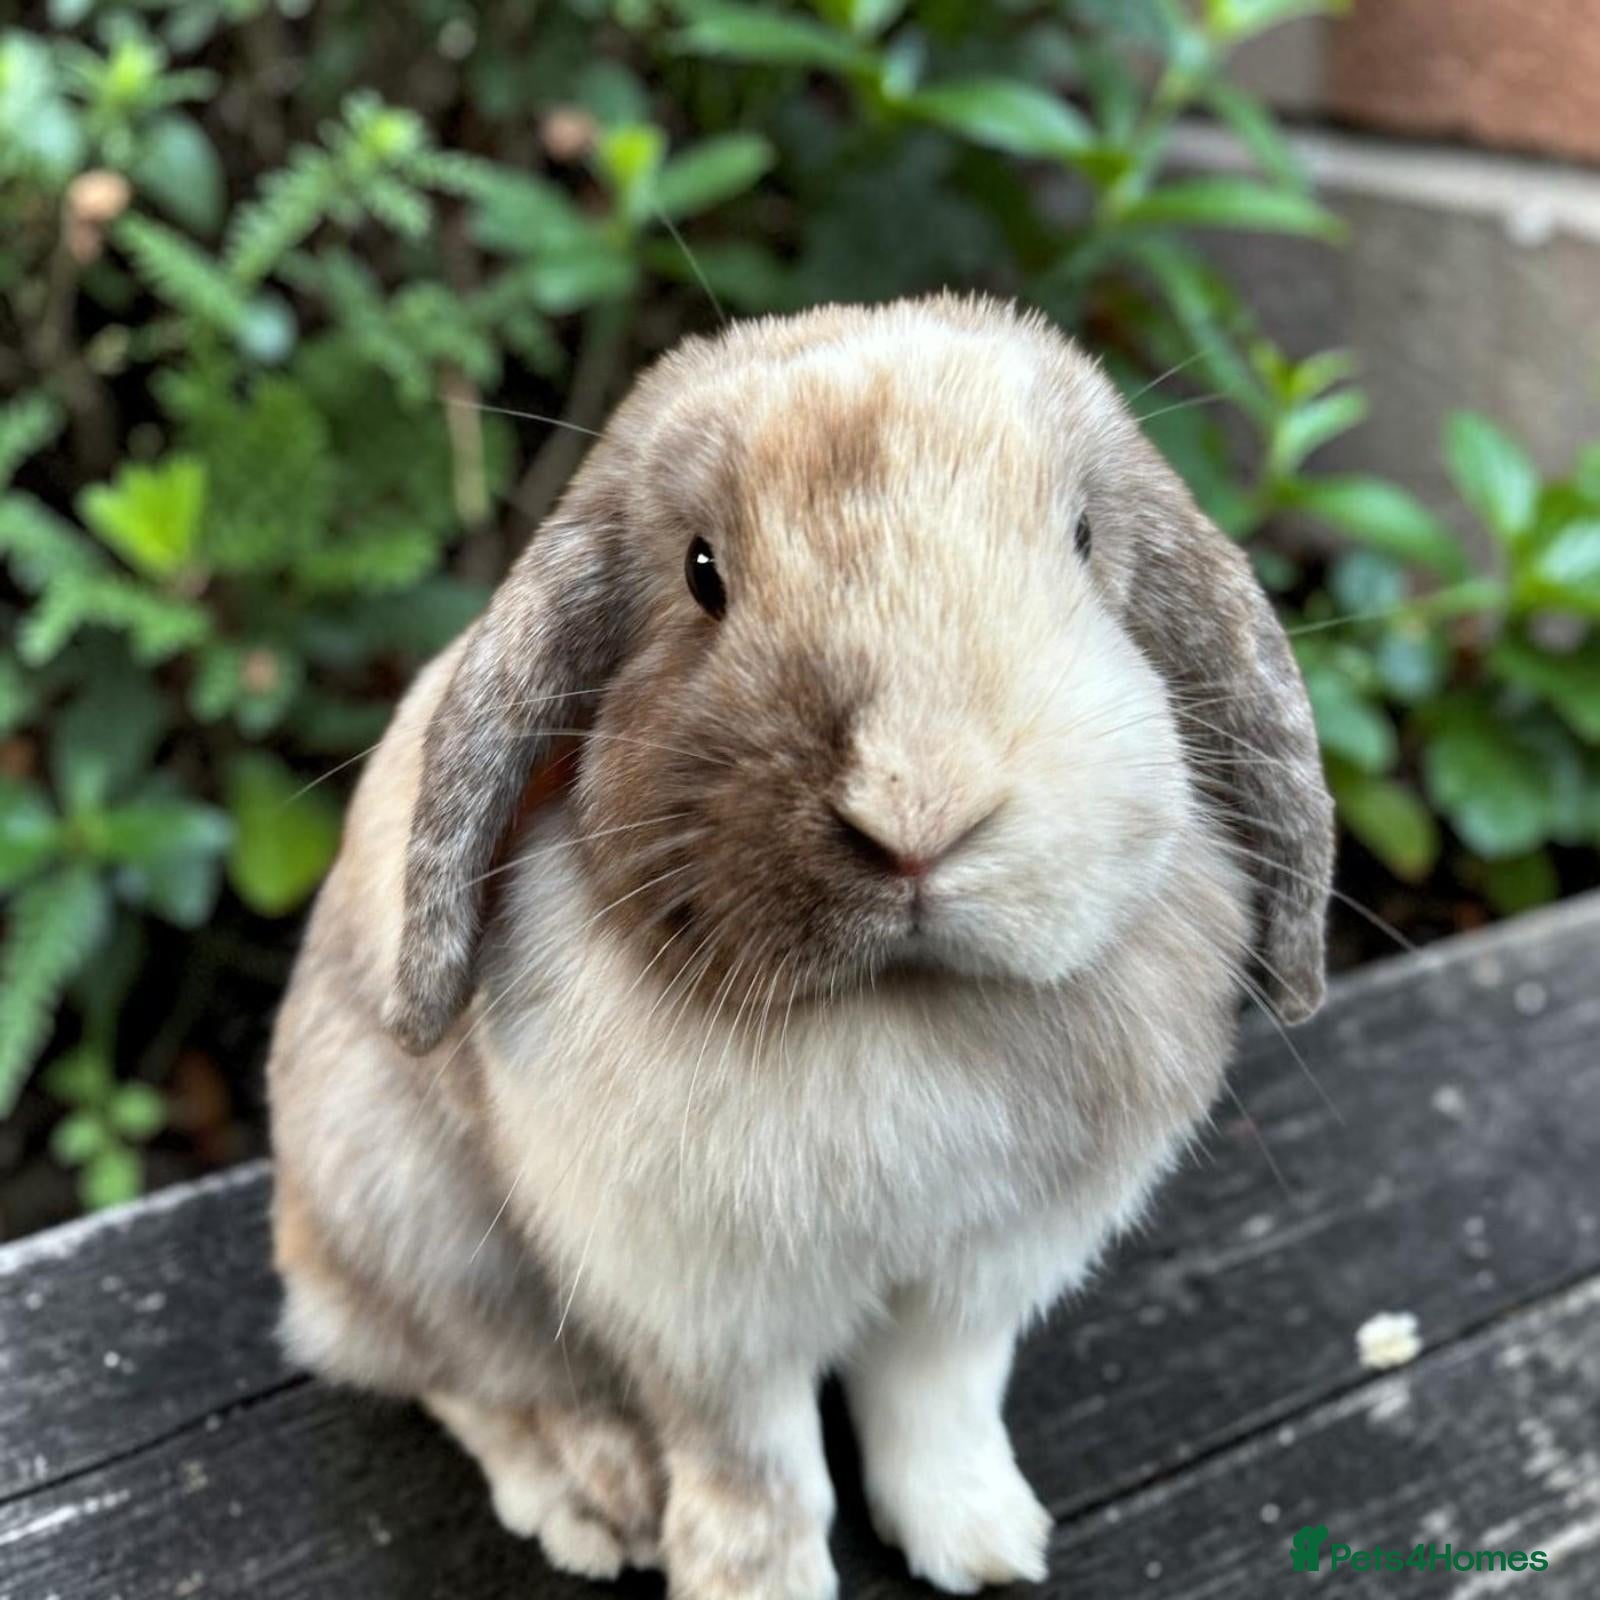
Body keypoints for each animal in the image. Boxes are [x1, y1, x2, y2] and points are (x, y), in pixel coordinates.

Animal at [267, 293, 1333, 1599]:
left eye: (1083, 539)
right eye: (701, 573)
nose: (920, 810)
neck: (903, 1008)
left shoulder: (974, 1283)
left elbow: (937, 1409)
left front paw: (982, 1545)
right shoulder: (706, 1312)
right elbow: (757, 1472)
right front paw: (755, 1583)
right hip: (411, 1218)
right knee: (458, 1372)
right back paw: (592, 1494)